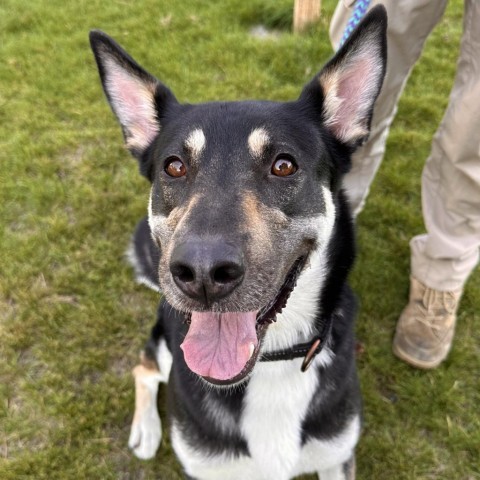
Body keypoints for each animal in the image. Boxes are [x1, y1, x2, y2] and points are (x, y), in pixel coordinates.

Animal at [91, 5, 386, 478]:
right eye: (174, 167)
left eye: (284, 165)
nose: (202, 273)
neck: (272, 362)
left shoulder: (337, 457)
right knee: (143, 366)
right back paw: (146, 429)